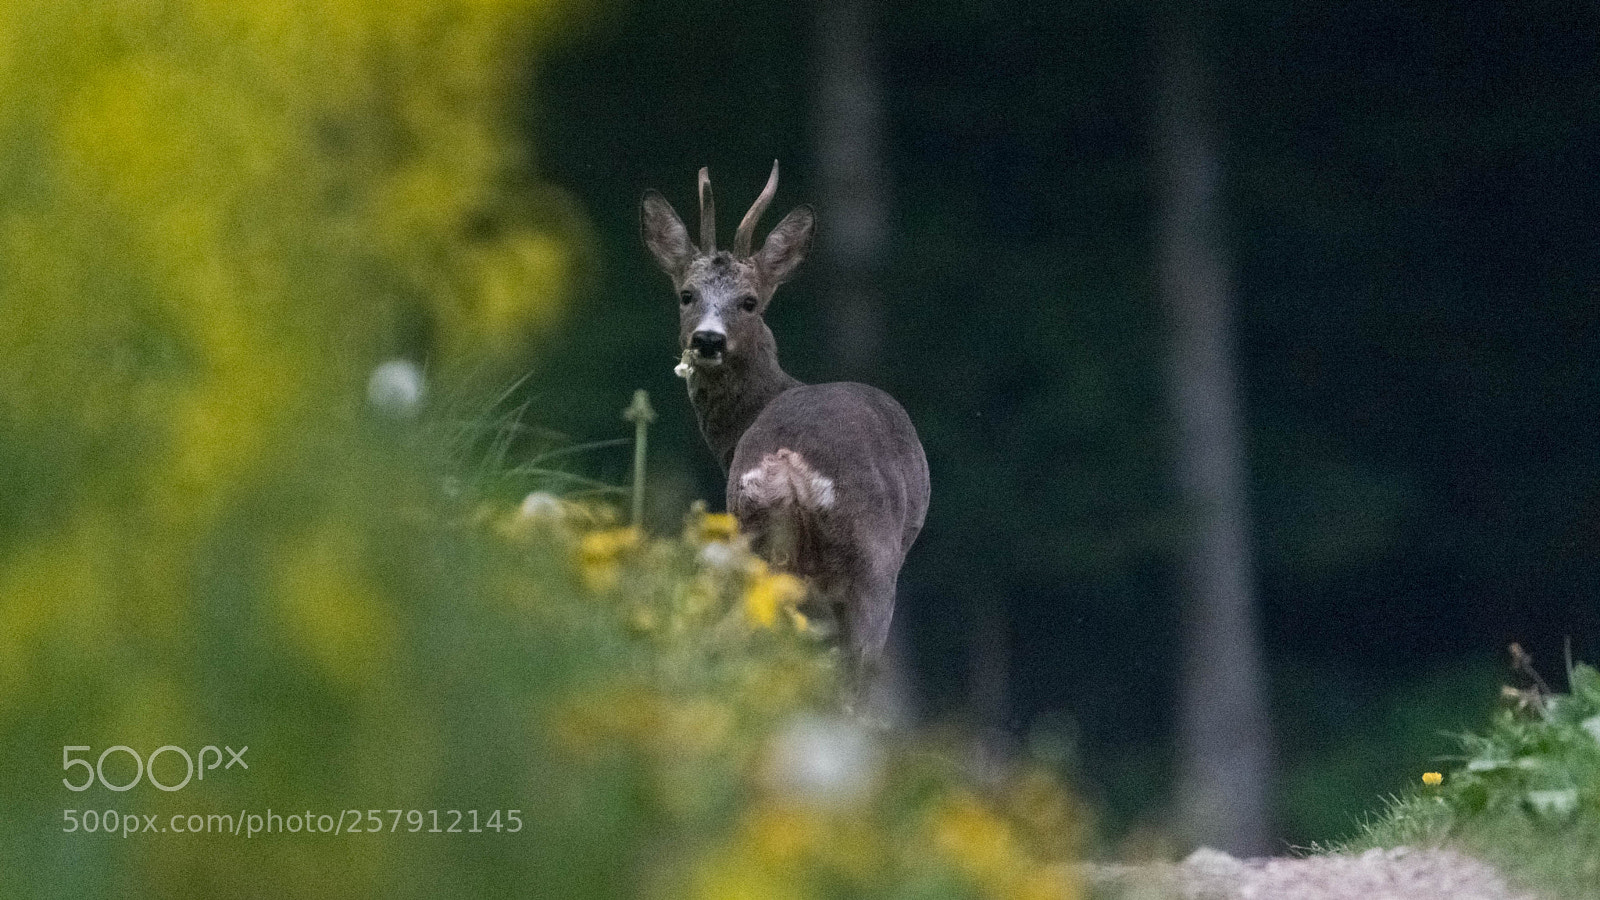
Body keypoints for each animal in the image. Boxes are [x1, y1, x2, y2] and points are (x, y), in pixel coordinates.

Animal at [641, 161, 930, 687]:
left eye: (750, 301)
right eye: (687, 294)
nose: (707, 340)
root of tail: (787, 461)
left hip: (754, 543)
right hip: (869, 560)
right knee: (855, 670)